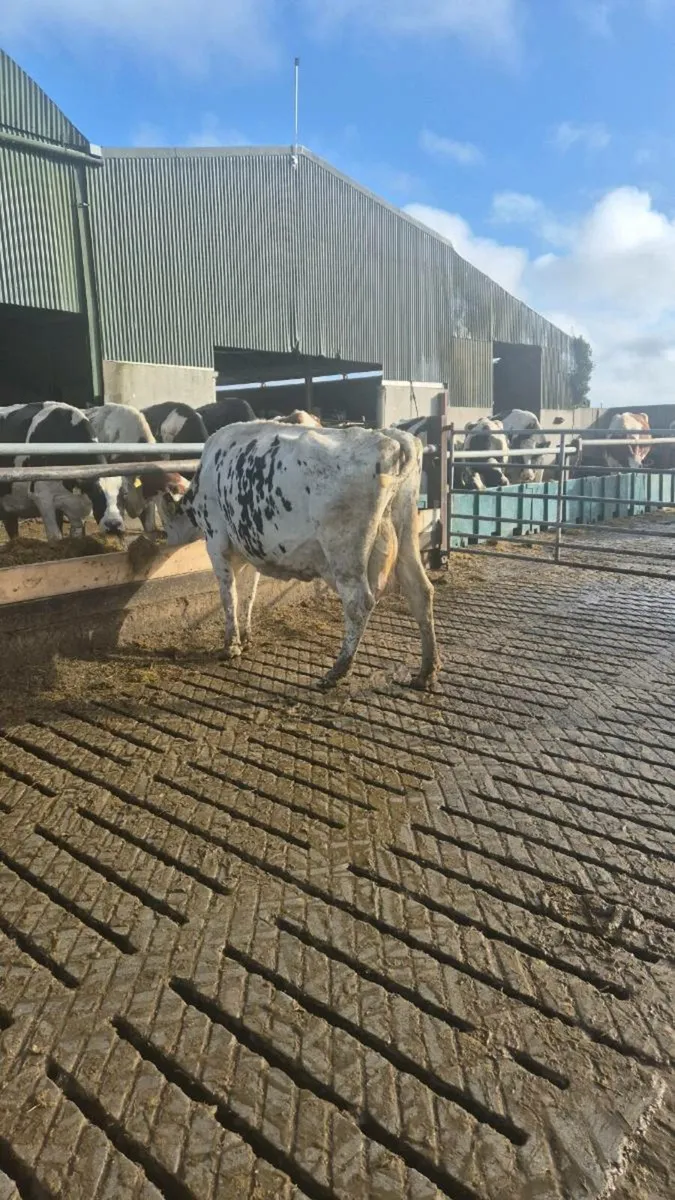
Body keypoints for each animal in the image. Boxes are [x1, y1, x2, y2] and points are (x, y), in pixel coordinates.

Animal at [139, 422, 440, 690]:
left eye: (167, 520)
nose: (164, 541)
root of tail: (391, 437)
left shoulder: (217, 540)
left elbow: (229, 594)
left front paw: (231, 645)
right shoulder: (250, 548)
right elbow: (249, 593)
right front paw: (246, 637)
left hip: (344, 552)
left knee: (359, 603)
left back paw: (337, 671)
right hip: (406, 531)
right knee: (420, 590)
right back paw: (426, 671)